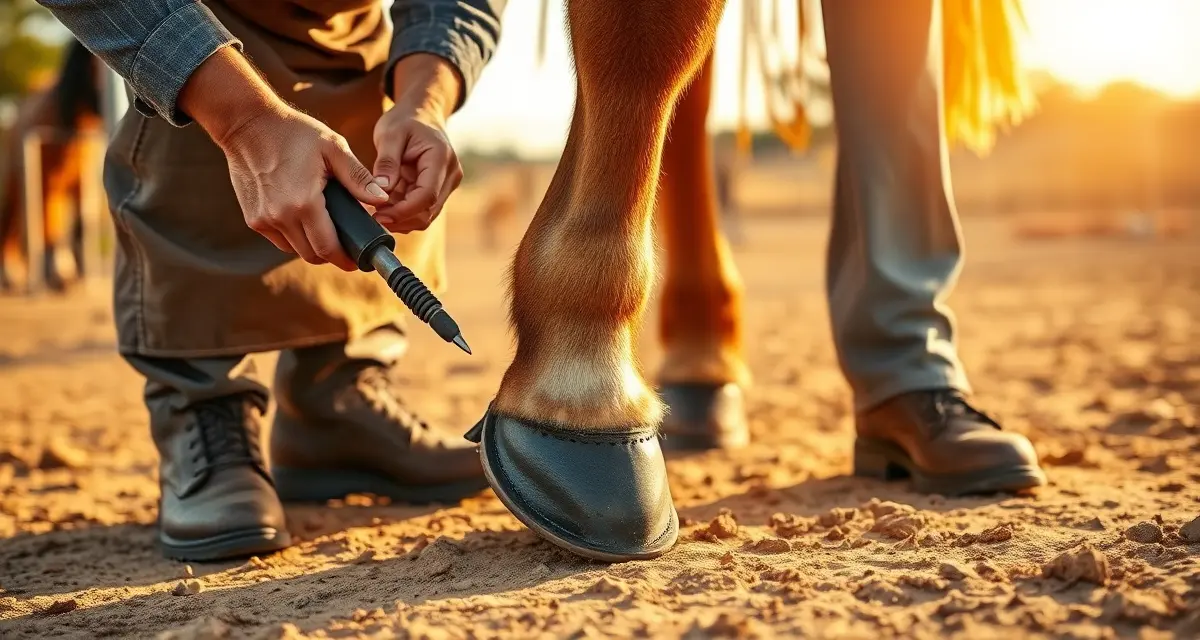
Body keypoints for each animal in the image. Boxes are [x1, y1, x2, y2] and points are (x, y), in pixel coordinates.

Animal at [0, 37, 106, 294]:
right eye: (96, 65)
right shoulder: (47, 182)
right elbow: (51, 225)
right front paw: (61, 276)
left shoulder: (82, 183)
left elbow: (79, 226)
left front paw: (77, 276)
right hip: (16, 182)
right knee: (11, 222)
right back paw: (11, 276)